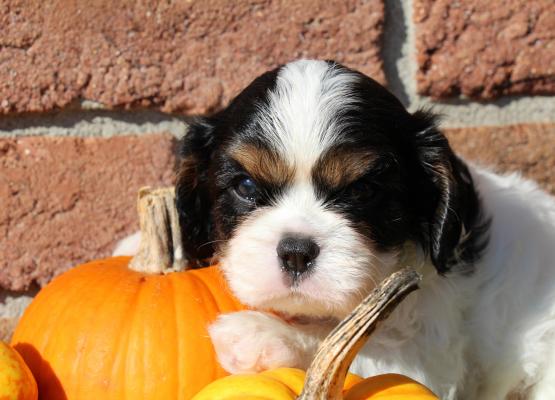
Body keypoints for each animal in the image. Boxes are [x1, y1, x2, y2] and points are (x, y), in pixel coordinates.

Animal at [176, 60, 555, 400]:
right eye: (246, 186)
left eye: (360, 191)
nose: (296, 252)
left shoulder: (425, 353)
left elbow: (351, 347)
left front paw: (267, 335)